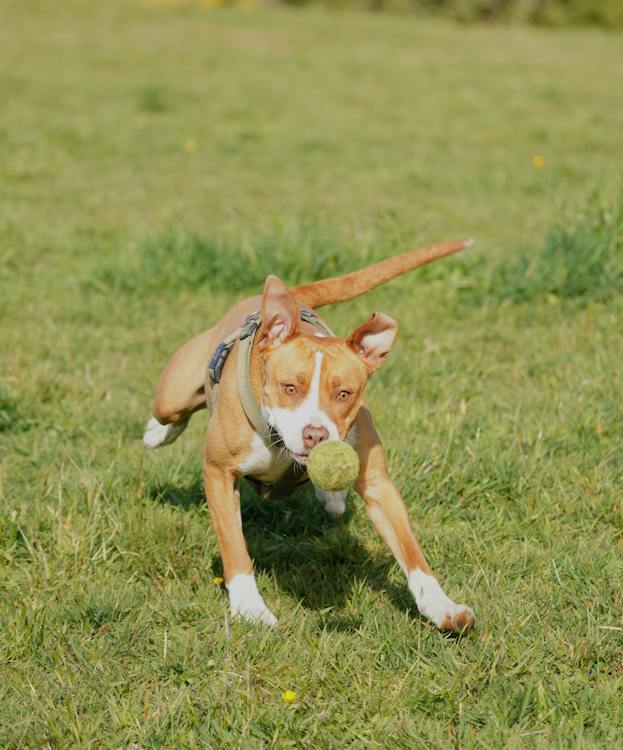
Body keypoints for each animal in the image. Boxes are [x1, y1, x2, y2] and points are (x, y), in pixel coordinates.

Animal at [145, 238, 478, 632]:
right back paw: (158, 431)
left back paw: (331, 497)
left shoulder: (378, 483)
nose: (316, 434)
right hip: (175, 391)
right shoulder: (218, 470)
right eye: (290, 387)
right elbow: (234, 546)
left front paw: (442, 607)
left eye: (344, 393)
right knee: (172, 411)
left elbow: (410, 550)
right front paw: (250, 609)